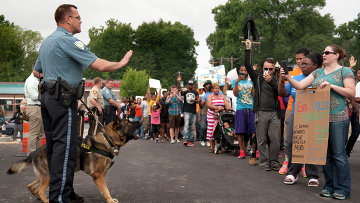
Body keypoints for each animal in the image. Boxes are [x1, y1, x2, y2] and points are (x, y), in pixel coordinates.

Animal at [7, 116, 141, 203]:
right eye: (129, 122)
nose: (140, 121)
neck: (108, 139)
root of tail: (34, 152)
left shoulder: (104, 174)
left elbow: (106, 188)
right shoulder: (98, 176)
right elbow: (105, 190)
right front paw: (110, 200)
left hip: (45, 175)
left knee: (31, 186)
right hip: (49, 176)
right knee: (39, 190)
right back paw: (45, 199)